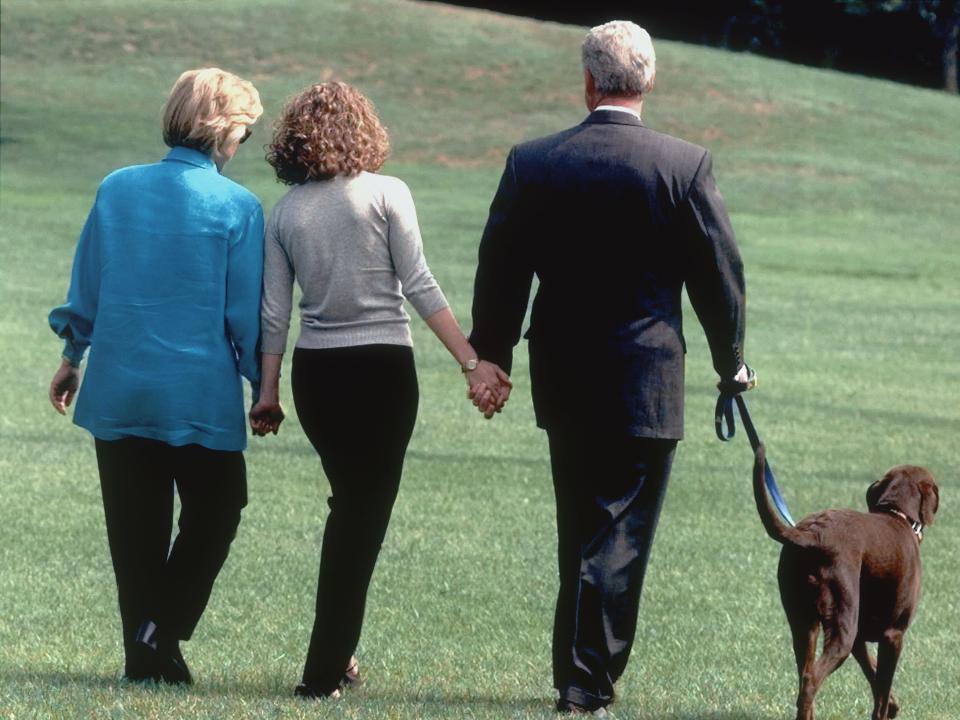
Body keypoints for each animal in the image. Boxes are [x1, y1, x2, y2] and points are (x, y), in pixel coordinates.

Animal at [752, 444, 936, 720]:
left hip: (805, 625)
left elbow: (874, 675)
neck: (897, 514)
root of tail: (811, 536)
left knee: (804, 677)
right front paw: (887, 709)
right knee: (810, 679)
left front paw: (893, 705)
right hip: (842, 627)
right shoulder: (893, 635)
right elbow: (881, 691)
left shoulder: (861, 637)